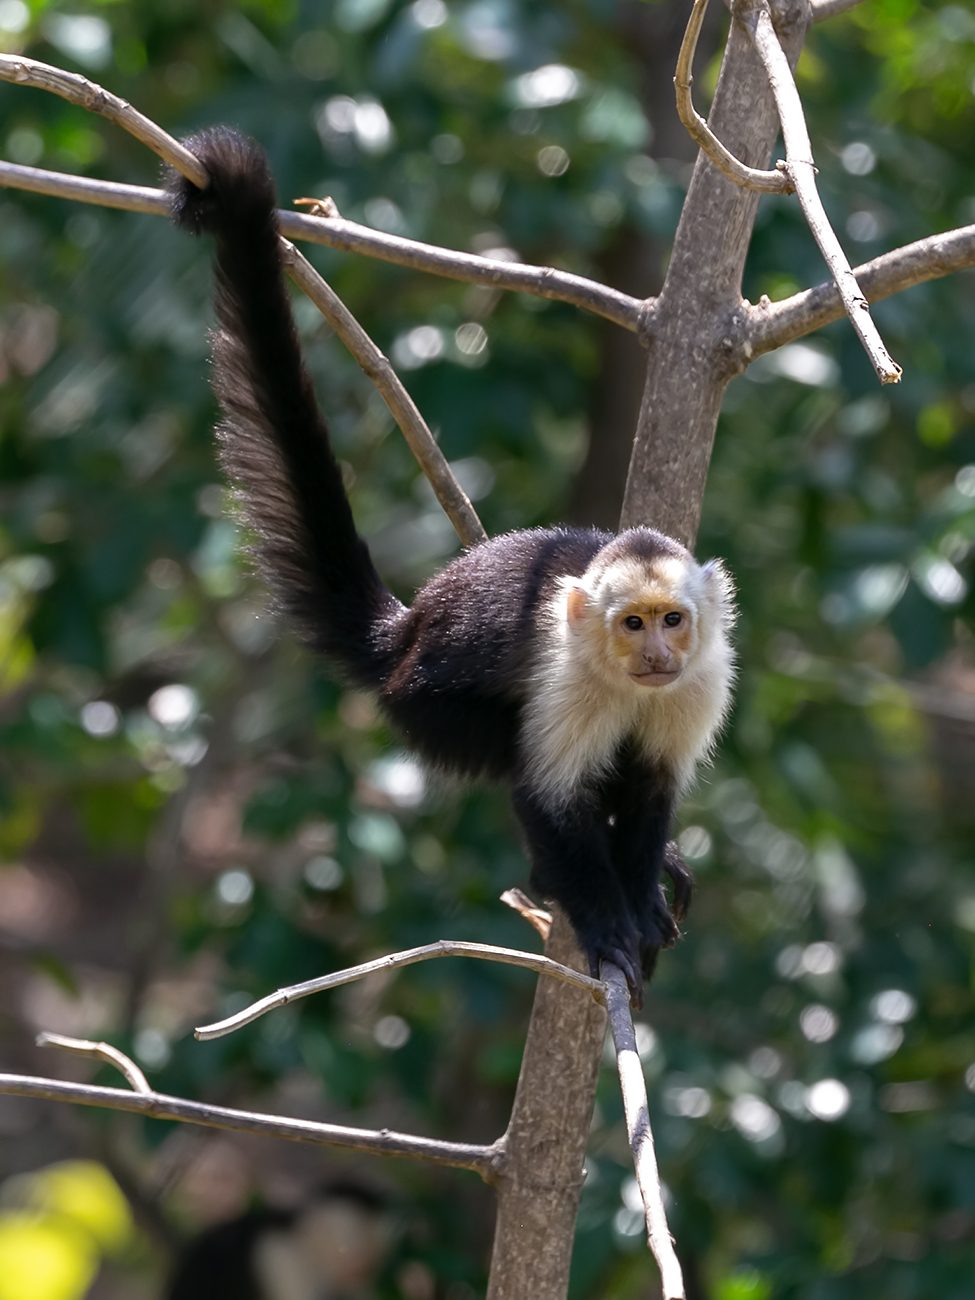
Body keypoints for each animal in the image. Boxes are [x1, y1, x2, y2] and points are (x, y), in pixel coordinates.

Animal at [167, 128, 735, 1002]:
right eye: (631, 623)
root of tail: (403, 632)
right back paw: (553, 881)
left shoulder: (702, 680)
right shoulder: (565, 680)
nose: (654, 654)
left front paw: (640, 894)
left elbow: (653, 793)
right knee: (509, 752)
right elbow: (545, 794)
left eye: (673, 621)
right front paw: (607, 922)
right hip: (422, 706)